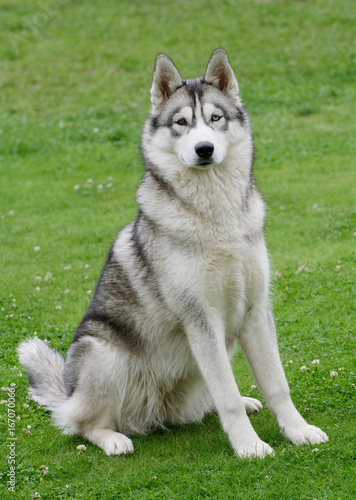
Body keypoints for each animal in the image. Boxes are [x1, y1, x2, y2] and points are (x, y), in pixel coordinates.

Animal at [16, 49, 328, 458]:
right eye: (181, 122)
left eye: (215, 118)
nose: (204, 149)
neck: (216, 220)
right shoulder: (201, 318)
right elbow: (226, 396)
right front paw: (249, 446)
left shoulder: (255, 311)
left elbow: (277, 384)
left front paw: (298, 430)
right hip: (101, 354)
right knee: (82, 424)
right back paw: (112, 438)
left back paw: (243, 402)